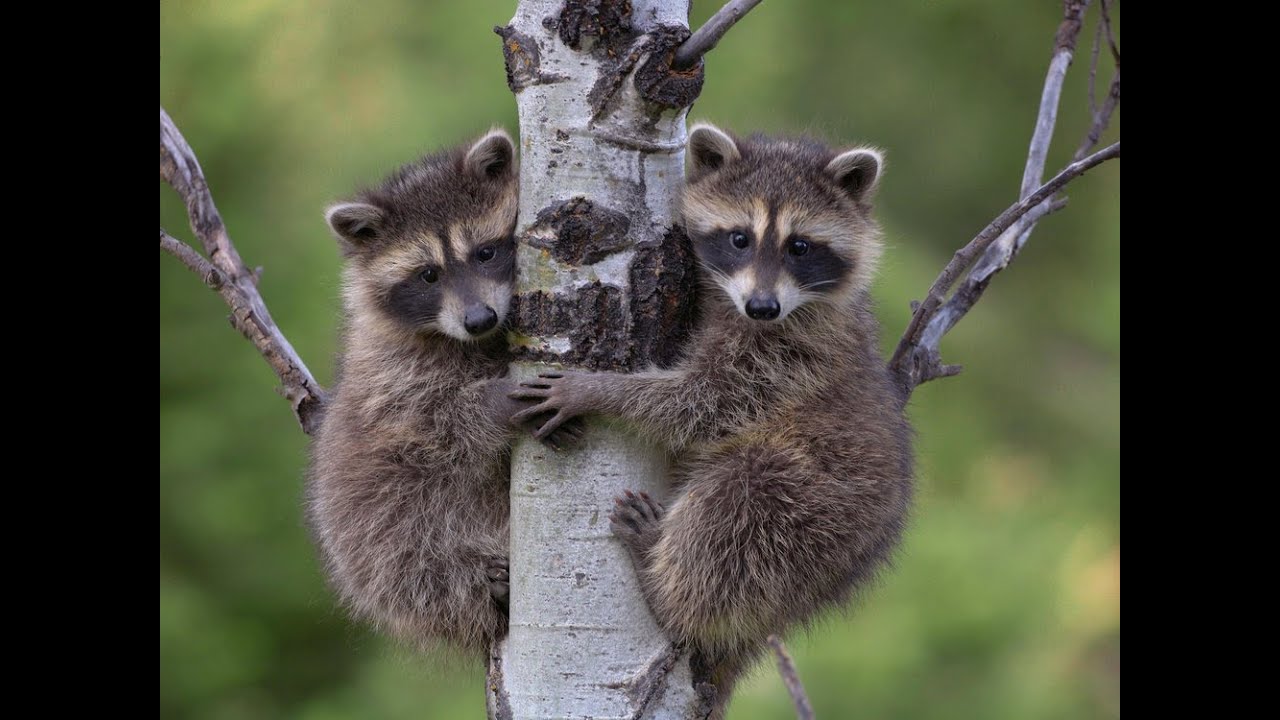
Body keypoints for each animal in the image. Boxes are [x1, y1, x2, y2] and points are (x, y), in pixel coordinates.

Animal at [305, 130, 580, 656]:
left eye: (485, 253)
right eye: (428, 275)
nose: (479, 319)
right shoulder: (393, 376)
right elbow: (435, 427)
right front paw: (497, 401)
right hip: (370, 535)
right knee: (413, 560)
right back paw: (481, 586)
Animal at [510, 123, 915, 704]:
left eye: (800, 246)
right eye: (739, 238)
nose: (763, 307)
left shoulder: (790, 356)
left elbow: (703, 403)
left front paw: (600, 390)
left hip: (816, 512)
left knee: (736, 506)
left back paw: (664, 585)